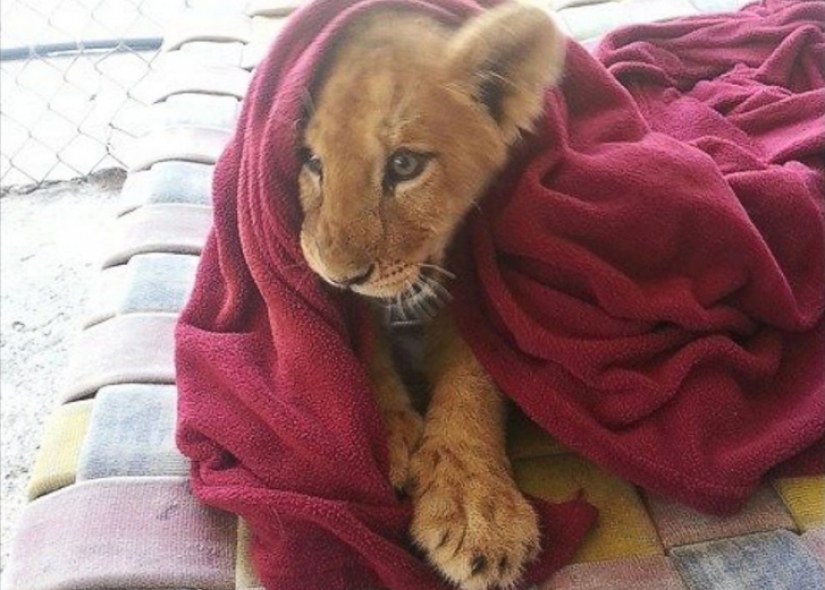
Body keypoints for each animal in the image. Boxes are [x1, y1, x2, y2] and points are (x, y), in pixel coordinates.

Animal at [297, 3, 566, 589]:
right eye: (311, 161)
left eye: (404, 166)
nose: (340, 275)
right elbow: (364, 342)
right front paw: (384, 434)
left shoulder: (480, 274)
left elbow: (475, 373)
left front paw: (476, 510)